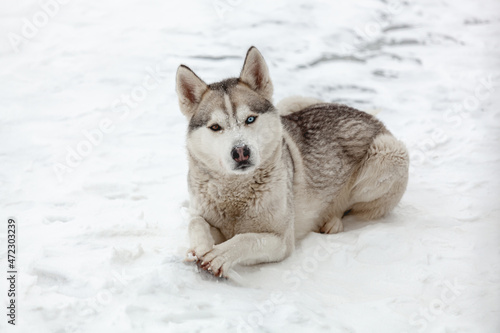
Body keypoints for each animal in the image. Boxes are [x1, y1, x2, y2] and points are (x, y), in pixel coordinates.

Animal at [178, 45, 408, 276]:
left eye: (250, 119)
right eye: (215, 127)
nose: (241, 152)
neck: (235, 192)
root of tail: (369, 116)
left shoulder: (280, 241)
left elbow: (246, 238)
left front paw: (220, 255)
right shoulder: (205, 215)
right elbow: (195, 222)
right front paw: (200, 248)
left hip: (389, 154)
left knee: (353, 210)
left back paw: (332, 220)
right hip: (289, 103)